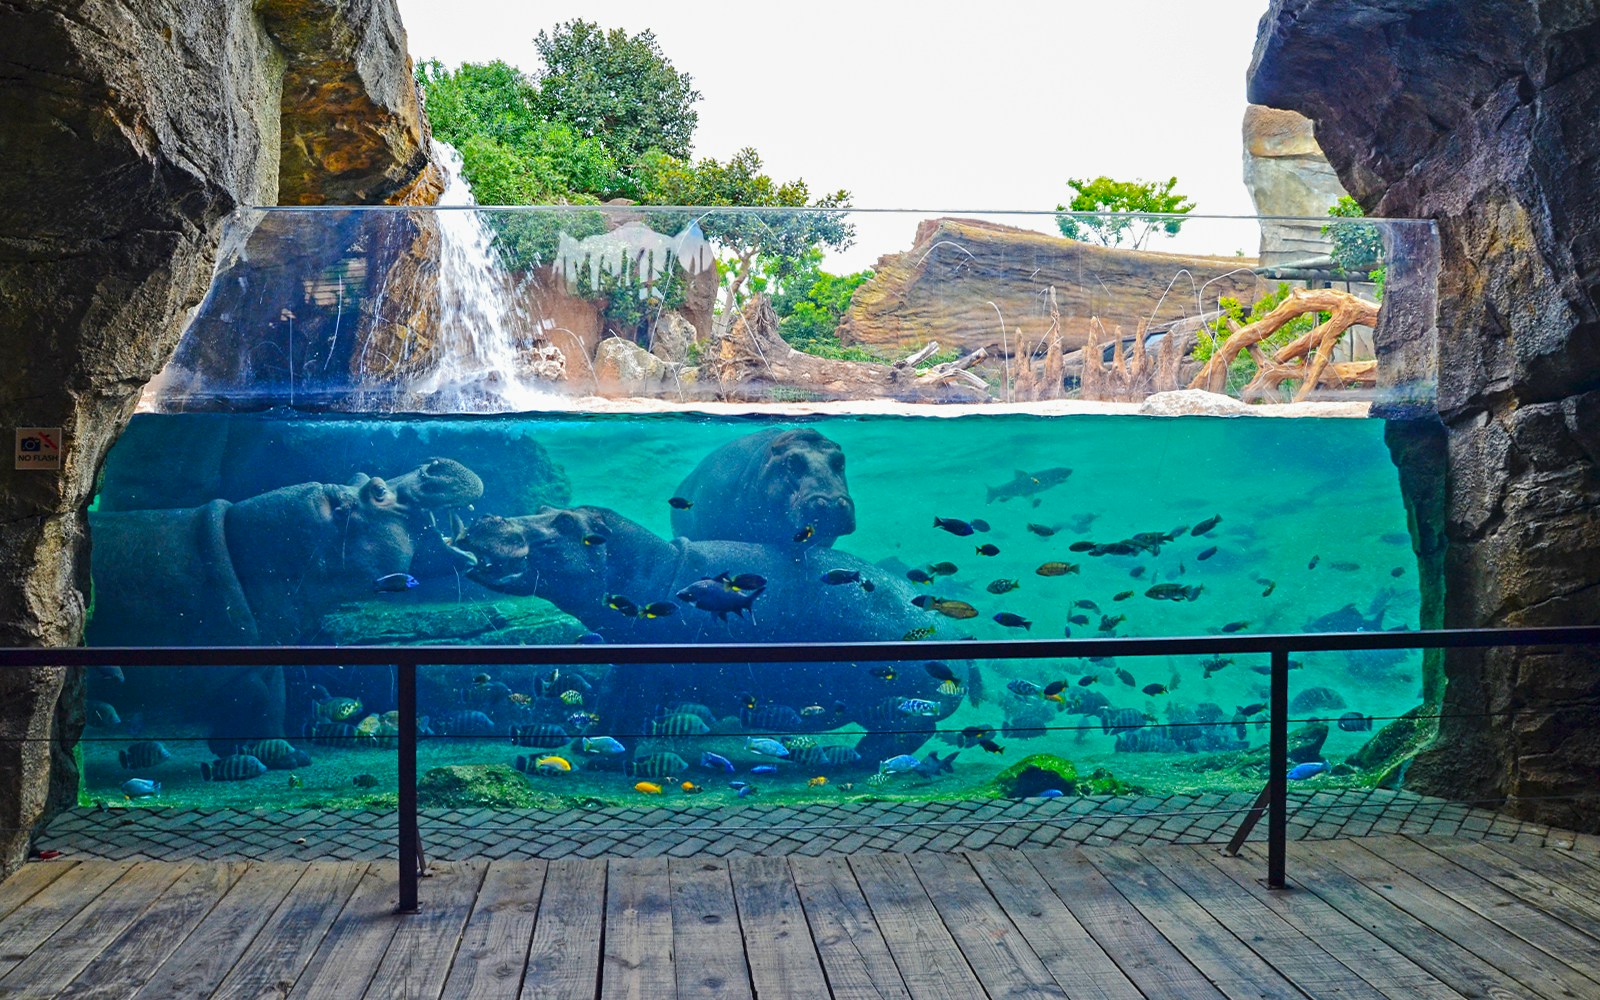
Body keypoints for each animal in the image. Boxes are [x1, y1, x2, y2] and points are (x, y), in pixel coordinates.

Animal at [88, 458, 483, 753]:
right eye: (378, 490)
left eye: (358, 476)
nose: (432, 464)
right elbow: (260, 696)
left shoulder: (264, 648)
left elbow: (273, 696)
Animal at [454, 504, 962, 758]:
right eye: (544, 507)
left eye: (562, 522)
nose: (485, 518)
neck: (650, 567)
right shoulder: (627, 658)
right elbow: (611, 698)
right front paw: (592, 740)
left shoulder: (649, 667)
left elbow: (625, 708)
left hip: (894, 697)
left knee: (909, 730)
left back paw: (859, 760)